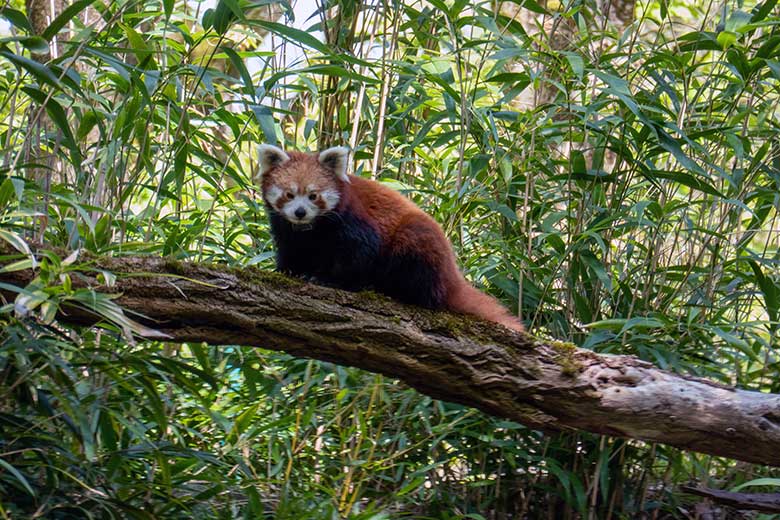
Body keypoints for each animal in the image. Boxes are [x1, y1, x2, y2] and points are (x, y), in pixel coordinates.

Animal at [256, 145, 524, 334]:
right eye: (289, 195)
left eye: (313, 196)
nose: (300, 212)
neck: (311, 228)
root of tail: (451, 272)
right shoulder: (287, 229)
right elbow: (291, 250)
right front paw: (285, 271)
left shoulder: (353, 221)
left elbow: (359, 253)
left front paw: (328, 279)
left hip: (418, 244)